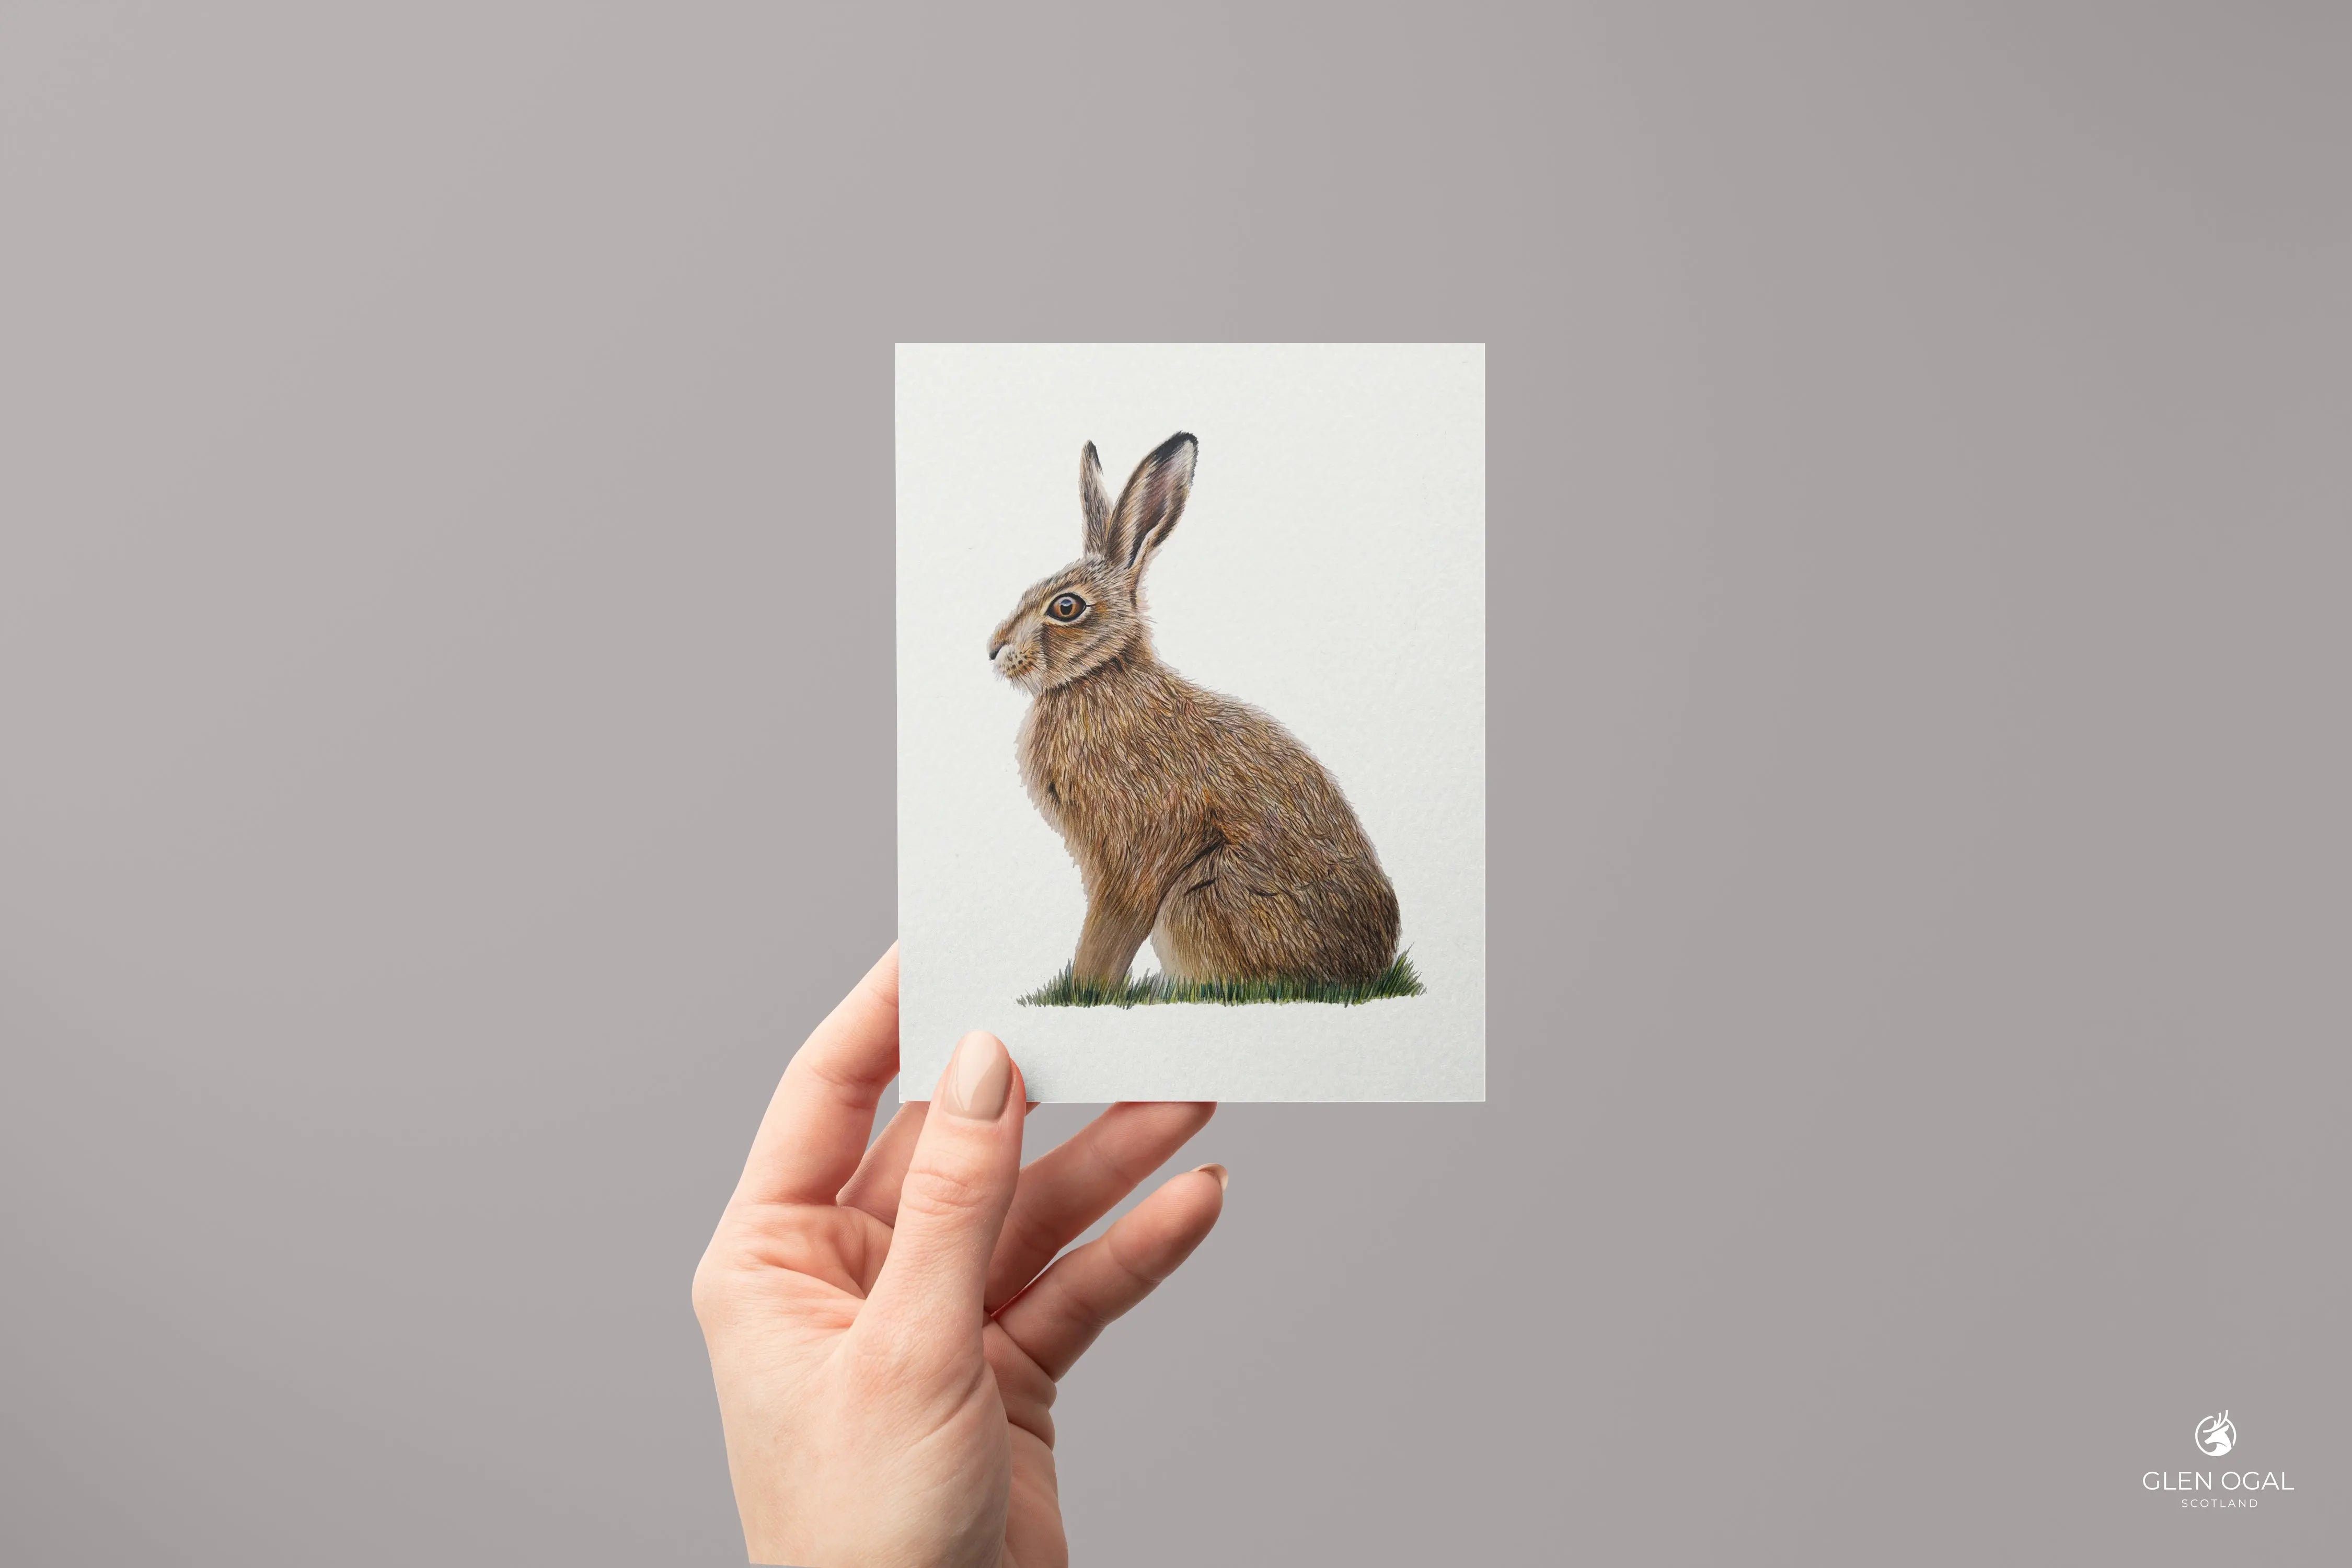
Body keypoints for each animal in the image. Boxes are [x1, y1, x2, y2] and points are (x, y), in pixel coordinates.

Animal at [987, 432, 1401, 991]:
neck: (1099, 675)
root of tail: (1367, 963)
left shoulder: (1134, 853)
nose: (993, 650)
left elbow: (1107, 938)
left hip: (1200, 901)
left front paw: (1088, 989)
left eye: (1066, 607)